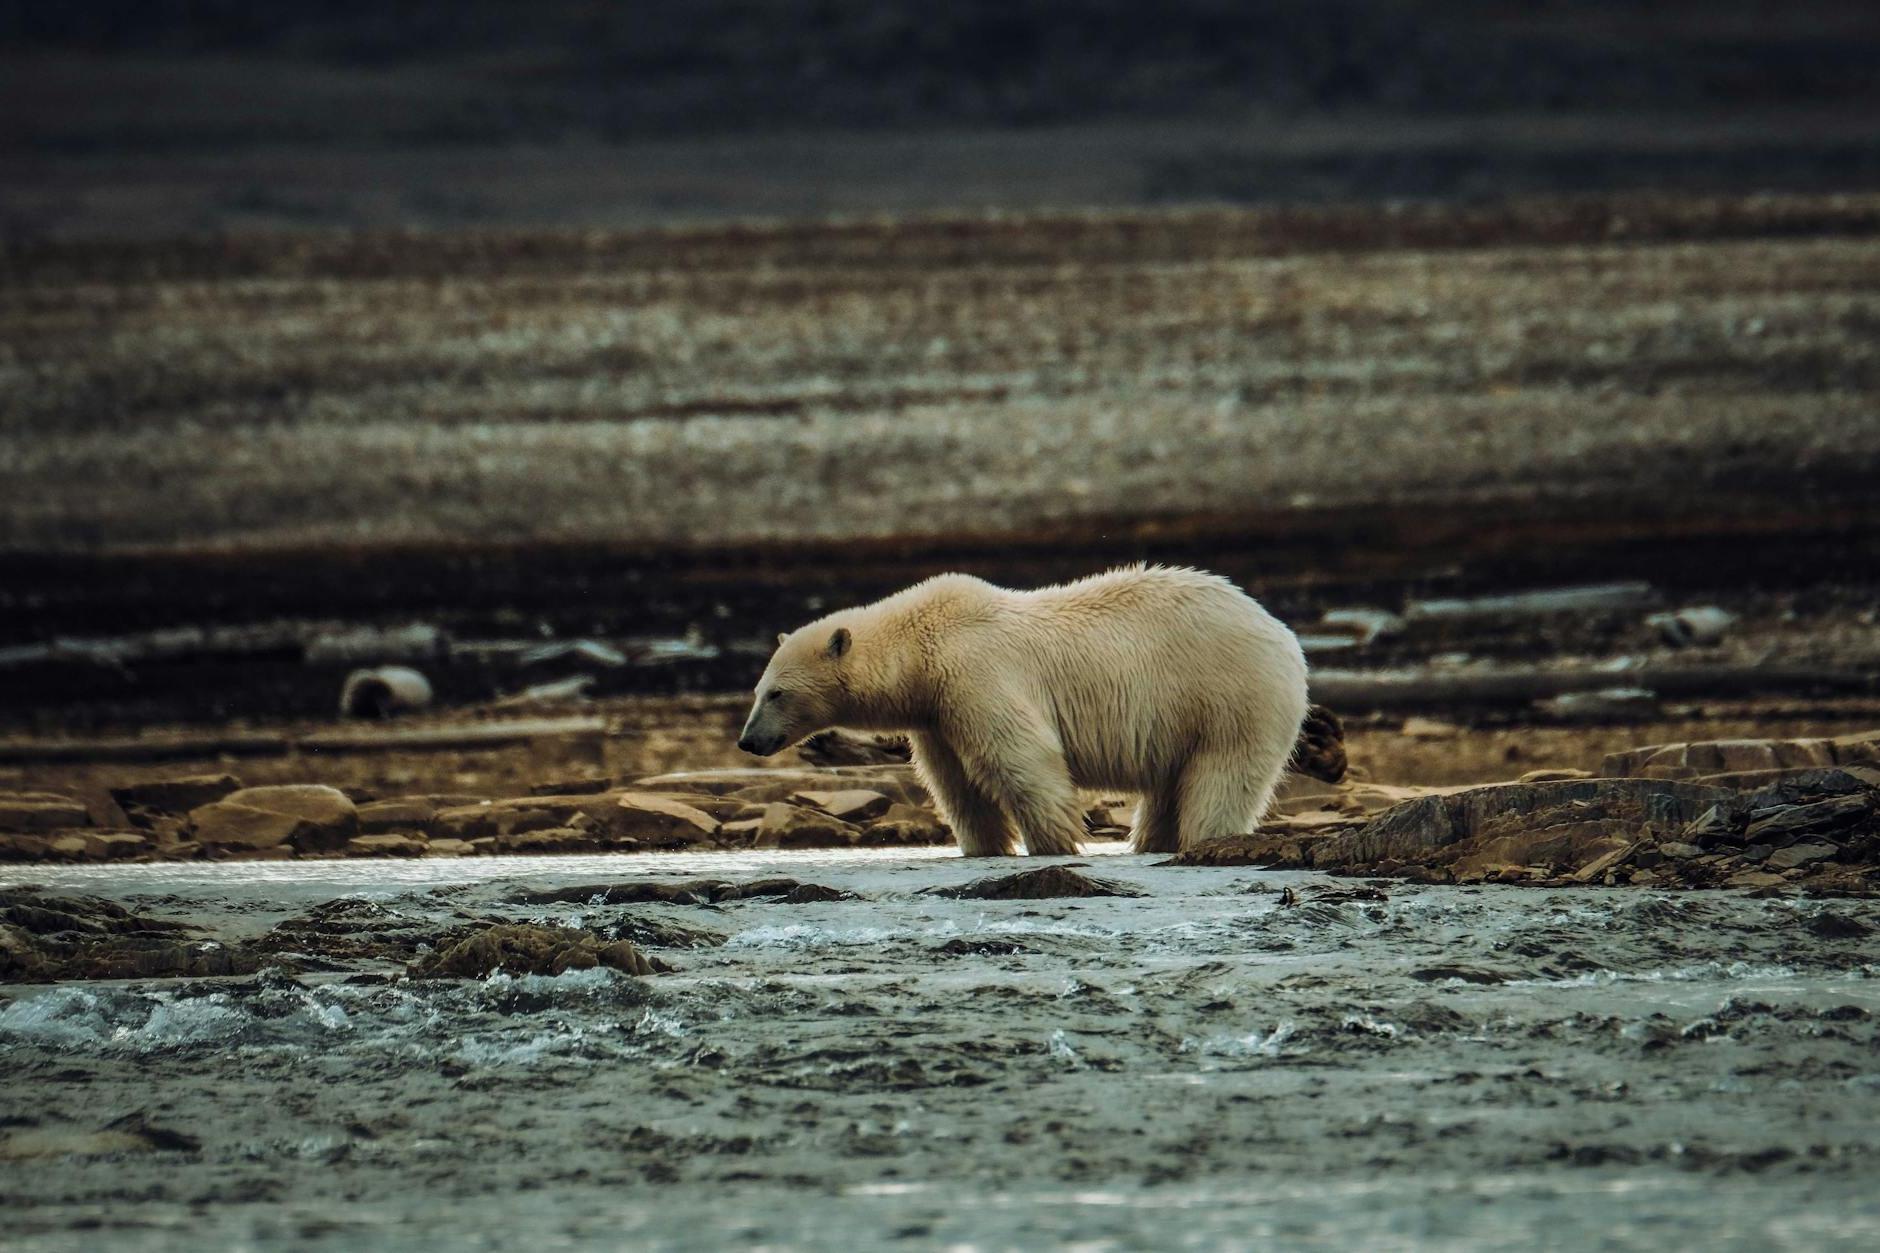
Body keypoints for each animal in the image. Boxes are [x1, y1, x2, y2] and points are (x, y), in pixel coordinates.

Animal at [733, 568, 1308, 854]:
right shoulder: (936, 713)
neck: (922, 648)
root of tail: (1280, 631)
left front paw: (1055, 842)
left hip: (1228, 694)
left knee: (1222, 775)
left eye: (776, 693)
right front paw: (983, 847)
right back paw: (1152, 843)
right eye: (758, 690)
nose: (748, 740)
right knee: (1171, 785)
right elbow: (956, 784)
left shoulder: (975, 674)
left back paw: (1204, 839)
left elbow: (1019, 758)